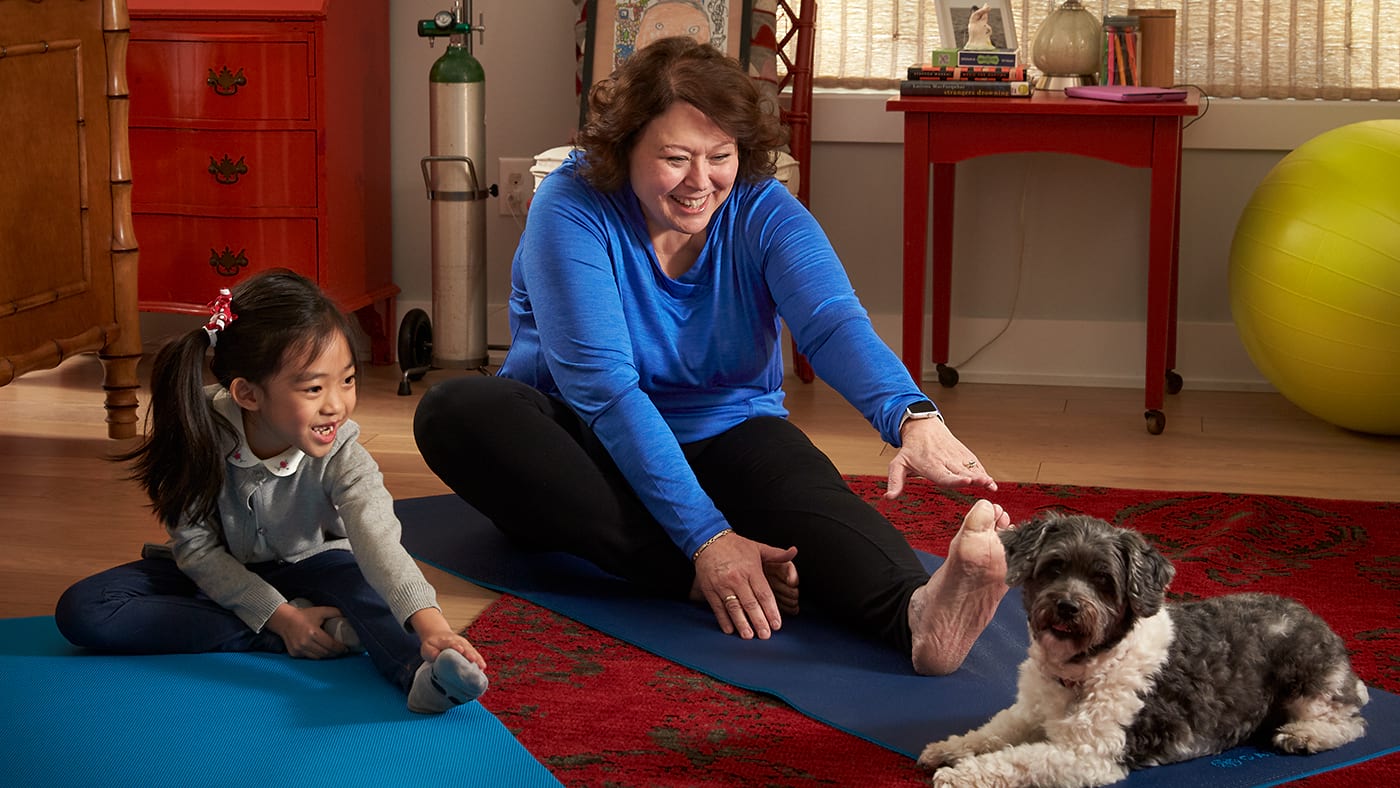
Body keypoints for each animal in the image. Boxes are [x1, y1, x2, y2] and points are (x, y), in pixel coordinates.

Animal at [918, 515, 1366, 783]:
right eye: (1054, 567)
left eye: (1103, 580)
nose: (1067, 606)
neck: (1083, 669)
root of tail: (1319, 621)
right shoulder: (1029, 713)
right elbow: (993, 732)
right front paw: (950, 748)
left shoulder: (1088, 753)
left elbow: (1019, 760)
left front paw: (963, 775)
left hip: (1306, 678)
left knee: (1351, 722)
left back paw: (1304, 735)